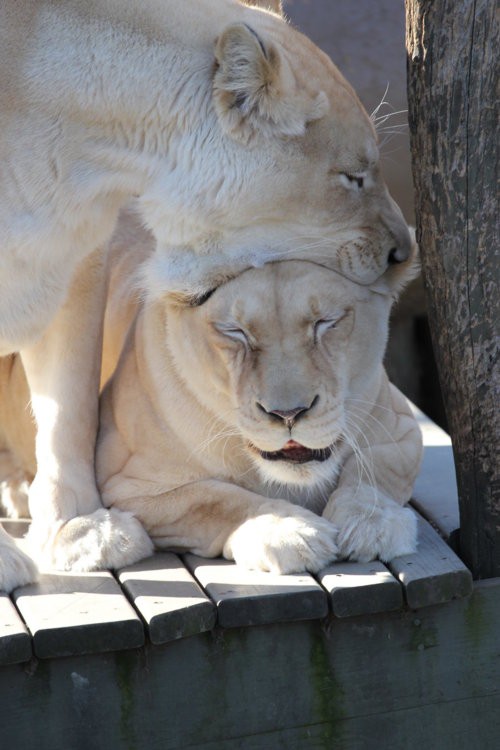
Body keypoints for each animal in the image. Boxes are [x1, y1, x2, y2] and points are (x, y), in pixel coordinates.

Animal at [0, 0, 412, 588]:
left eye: (327, 323)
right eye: (353, 176)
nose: (403, 252)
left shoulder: (75, 255)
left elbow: (69, 409)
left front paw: (79, 531)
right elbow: (218, 501)